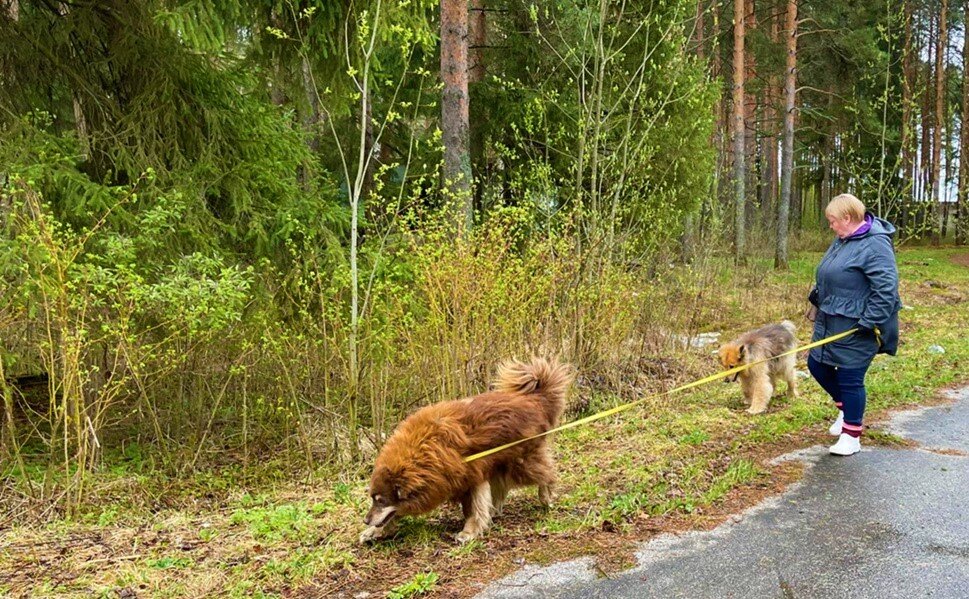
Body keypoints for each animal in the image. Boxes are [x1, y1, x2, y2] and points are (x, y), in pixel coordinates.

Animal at [360, 358, 572, 548]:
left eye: (381, 500)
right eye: (373, 499)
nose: (366, 520)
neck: (421, 453)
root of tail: (533, 399)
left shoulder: (471, 475)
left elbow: (475, 508)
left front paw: (469, 532)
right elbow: (393, 514)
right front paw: (373, 531)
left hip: (519, 462)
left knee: (546, 474)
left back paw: (546, 497)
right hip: (499, 464)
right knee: (502, 489)